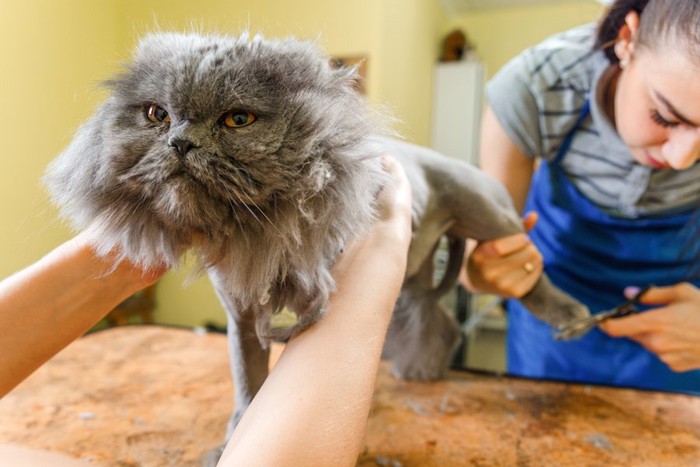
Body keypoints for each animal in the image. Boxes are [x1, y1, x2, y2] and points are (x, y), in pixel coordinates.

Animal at [45, 32, 592, 460]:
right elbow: (248, 384)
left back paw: (572, 318)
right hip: (413, 278)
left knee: (532, 278)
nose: (179, 142)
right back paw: (423, 370)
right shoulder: (242, 317)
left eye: (237, 120)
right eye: (157, 114)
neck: (252, 227)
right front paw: (235, 437)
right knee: (442, 319)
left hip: (490, 219)